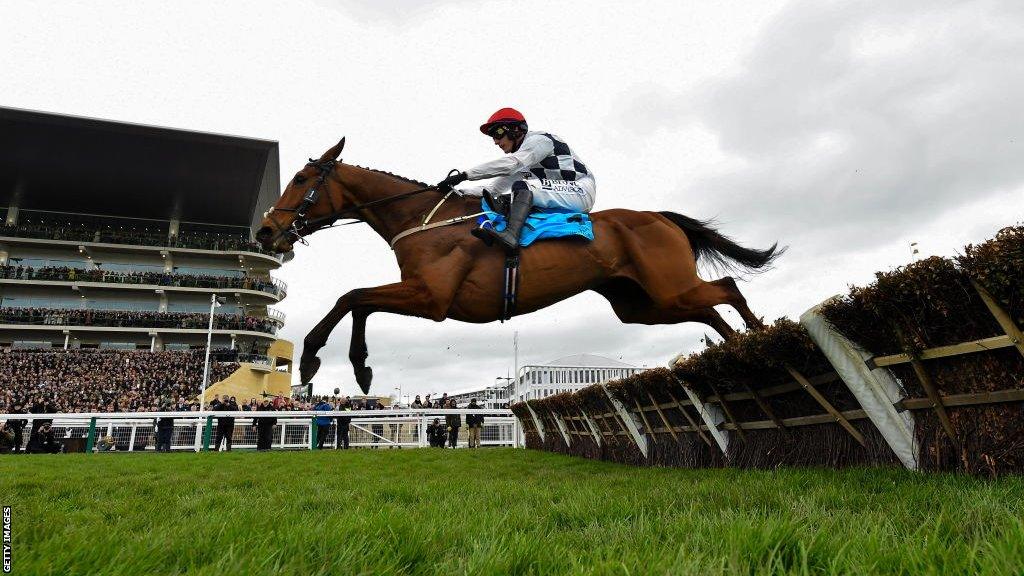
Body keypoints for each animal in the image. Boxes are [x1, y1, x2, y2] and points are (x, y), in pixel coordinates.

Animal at [258, 138, 782, 393]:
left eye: (301, 178)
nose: (265, 231)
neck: (422, 219)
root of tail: (661, 217)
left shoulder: (432, 298)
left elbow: (352, 296)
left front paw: (314, 356)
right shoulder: (421, 293)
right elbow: (359, 302)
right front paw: (359, 366)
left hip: (667, 288)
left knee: (728, 287)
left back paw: (761, 338)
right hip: (645, 306)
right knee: (709, 309)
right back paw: (738, 348)